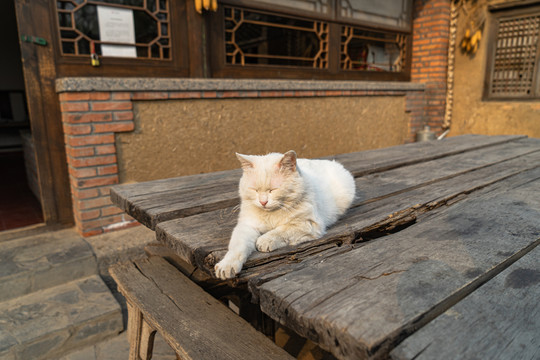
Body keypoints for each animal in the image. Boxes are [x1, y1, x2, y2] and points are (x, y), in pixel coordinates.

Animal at [213, 150, 356, 280]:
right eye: (254, 190)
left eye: (273, 190)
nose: (263, 202)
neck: (271, 214)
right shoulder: (247, 226)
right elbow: (237, 246)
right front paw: (227, 266)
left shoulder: (308, 224)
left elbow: (281, 231)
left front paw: (264, 241)